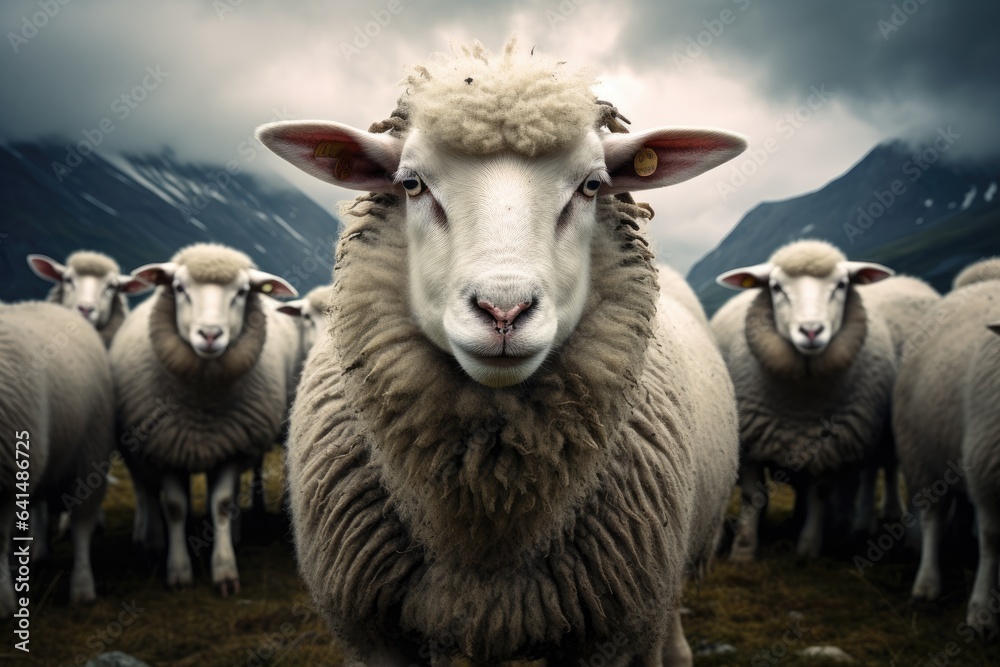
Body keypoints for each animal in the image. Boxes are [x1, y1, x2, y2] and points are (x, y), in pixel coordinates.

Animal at [109, 243, 297, 594]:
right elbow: (174, 508)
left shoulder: (228, 448)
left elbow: (220, 503)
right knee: (147, 491)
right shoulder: (166, 449)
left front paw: (224, 571)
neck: (202, 409)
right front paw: (179, 572)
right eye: (179, 288)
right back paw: (151, 541)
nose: (210, 335)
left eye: (241, 292)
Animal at [256, 38, 746, 665]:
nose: (504, 312)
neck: (485, 522)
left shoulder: (609, 633)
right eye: (411, 184)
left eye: (591, 185)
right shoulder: (374, 635)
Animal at [711, 239, 923, 560]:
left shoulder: (831, 445)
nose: (811, 331)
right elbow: (752, 494)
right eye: (775, 287)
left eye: (842, 284)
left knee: (879, 470)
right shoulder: (751, 444)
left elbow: (821, 493)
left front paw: (807, 549)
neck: (801, 402)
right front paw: (744, 551)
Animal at [895, 258, 1000, 634]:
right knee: (932, 517)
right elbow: (993, 539)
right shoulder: (988, 471)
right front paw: (981, 614)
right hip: (919, 454)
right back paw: (928, 584)